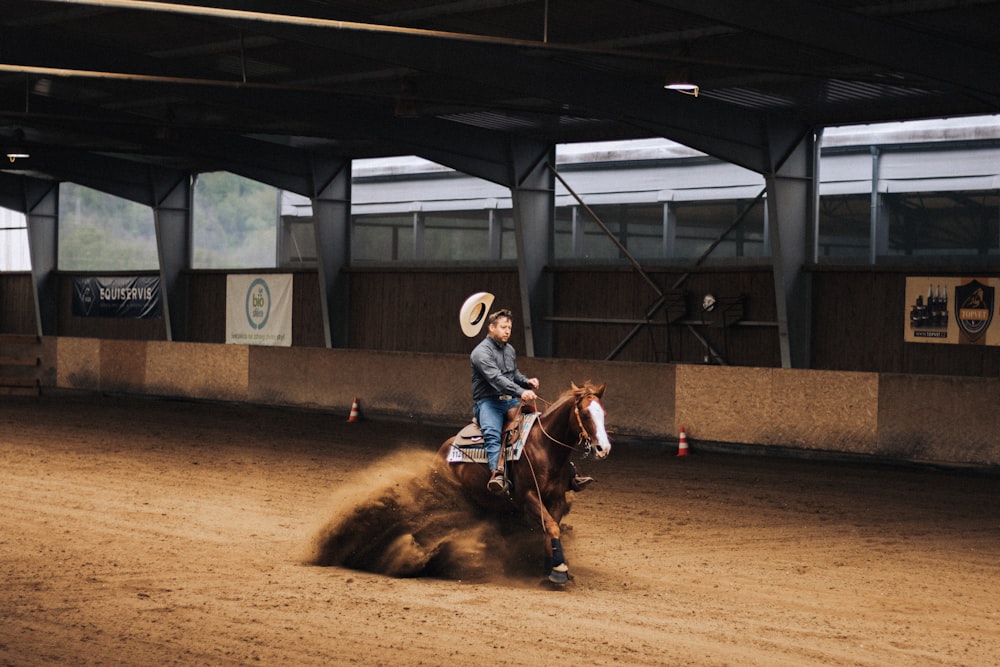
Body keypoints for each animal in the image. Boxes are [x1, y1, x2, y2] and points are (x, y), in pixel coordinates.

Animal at [440, 380, 612, 584]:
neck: (544, 447)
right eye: (585, 414)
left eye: (604, 414)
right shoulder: (528, 496)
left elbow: (550, 528)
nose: (604, 448)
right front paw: (559, 570)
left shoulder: (557, 499)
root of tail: (445, 448)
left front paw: (550, 567)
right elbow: (552, 527)